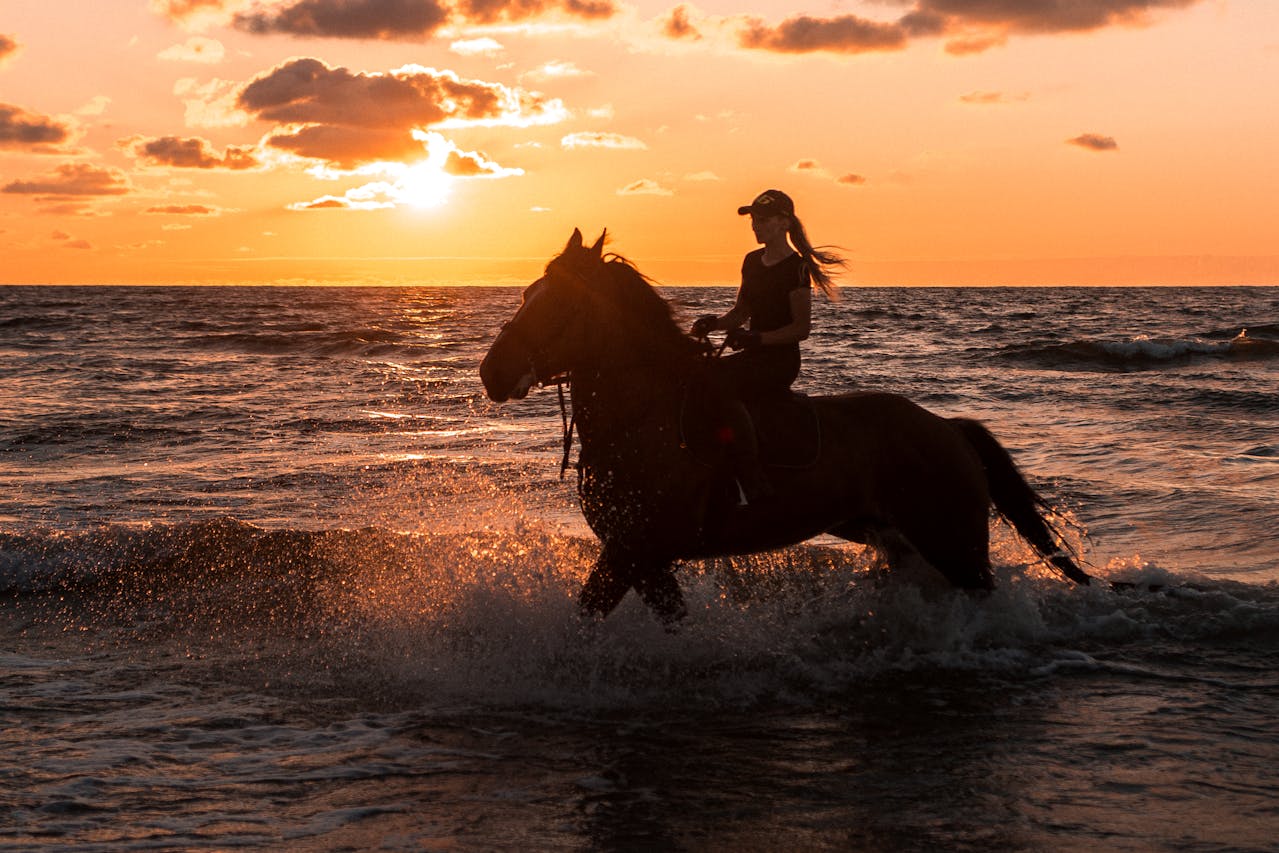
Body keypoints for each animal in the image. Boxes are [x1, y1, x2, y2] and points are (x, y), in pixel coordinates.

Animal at [480, 230, 1089, 624]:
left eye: (559, 304)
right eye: (526, 294)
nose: (493, 373)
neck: (640, 420)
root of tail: (947, 428)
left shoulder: (636, 547)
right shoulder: (641, 556)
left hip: (953, 541)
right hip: (896, 536)